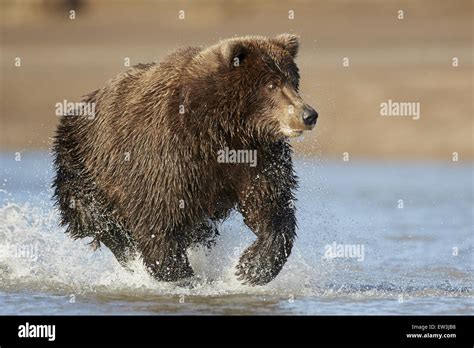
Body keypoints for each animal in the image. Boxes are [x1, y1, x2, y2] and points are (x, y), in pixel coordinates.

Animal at [52, 34, 318, 286]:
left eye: (293, 80)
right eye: (271, 84)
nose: (308, 114)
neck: (223, 128)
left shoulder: (256, 157)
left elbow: (269, 204)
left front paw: (251, 268)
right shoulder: (171, 151)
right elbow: (159, 216)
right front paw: (181, 275)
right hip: (83, 165)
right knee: (99, 220)